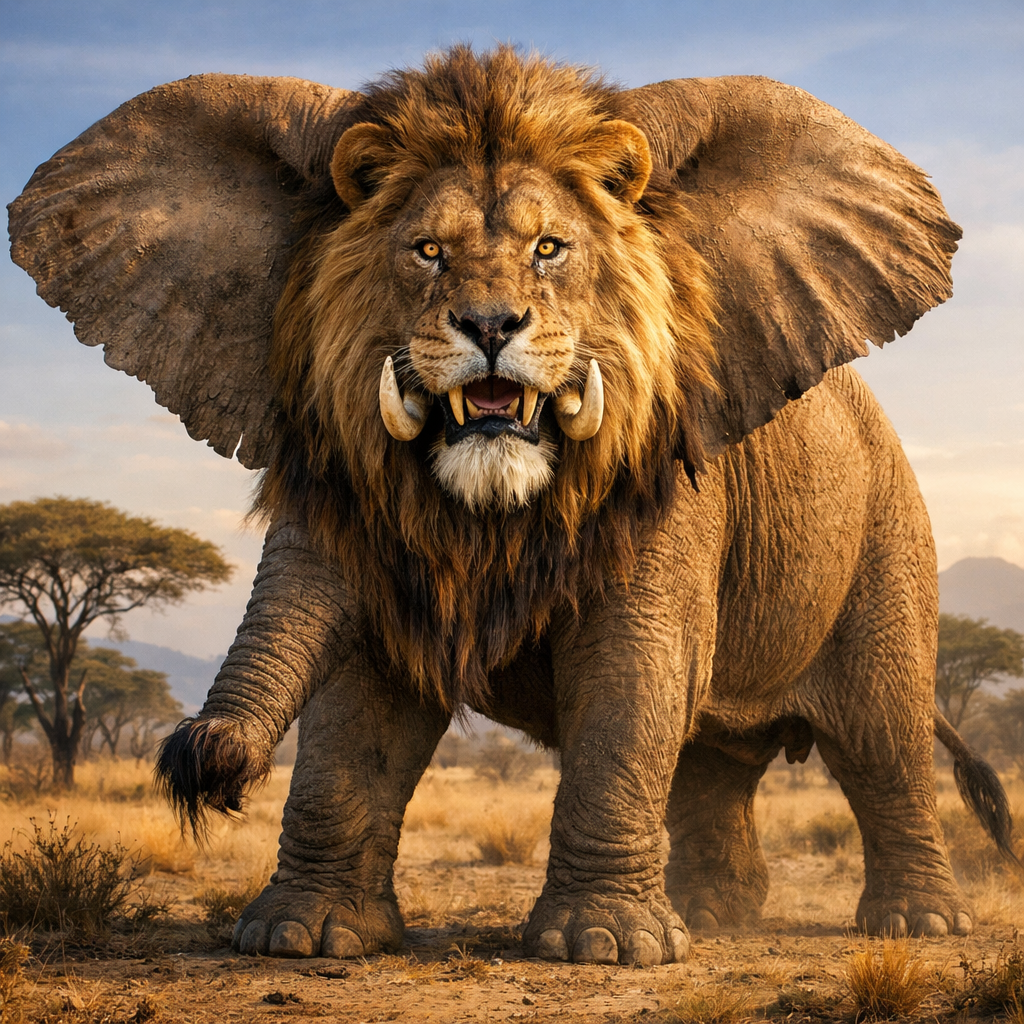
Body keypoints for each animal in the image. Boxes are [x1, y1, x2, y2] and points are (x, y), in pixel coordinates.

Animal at [9, 46, 1016, 966]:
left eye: (550, 249)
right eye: (425, 253)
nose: (202, 756)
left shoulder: (674, 471)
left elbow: (632, 671)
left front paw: (604, 950)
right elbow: (359, 693)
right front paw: (302, 940)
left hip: (889, 536)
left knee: (881, 740)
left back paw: (917, 927)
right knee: (713, 762)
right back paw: (718, 919)